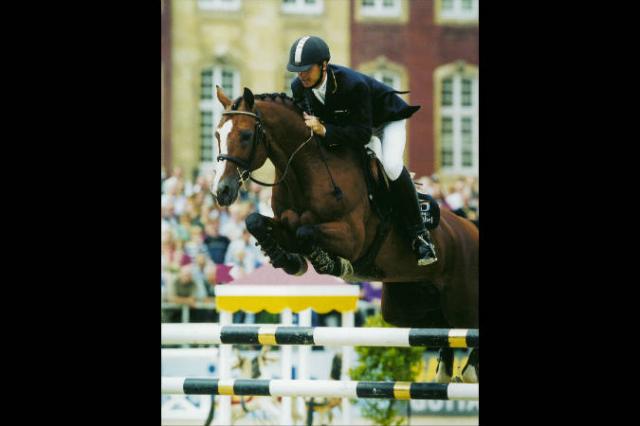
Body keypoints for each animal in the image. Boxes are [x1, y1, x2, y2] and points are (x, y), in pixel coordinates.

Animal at [212, 86, 479, 382]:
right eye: (217, 134)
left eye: (246, 135)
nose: (221, 191)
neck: (306, 170)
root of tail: (471, 227)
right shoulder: (284, 225)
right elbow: (256, 221)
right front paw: (289, 261)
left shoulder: (352, 238)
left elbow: (306, 232)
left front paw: (331, 263)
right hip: (404, 306)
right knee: (440, 329)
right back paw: (446, 371)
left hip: (462, 303)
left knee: (462, 329)